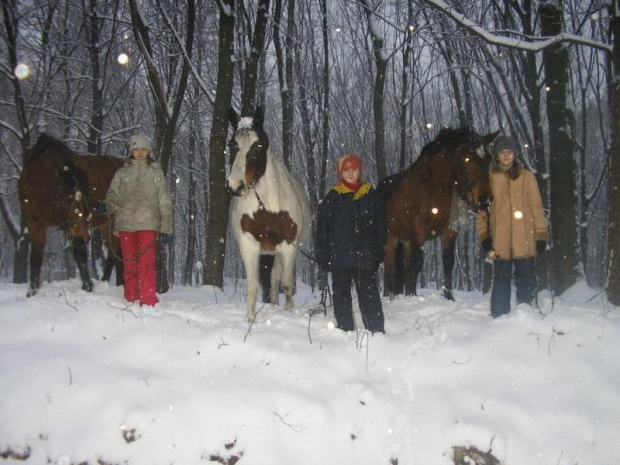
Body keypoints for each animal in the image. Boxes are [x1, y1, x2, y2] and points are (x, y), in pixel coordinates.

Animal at [17, 132, 123, 296]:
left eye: (83, 195)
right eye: (66, 201)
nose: (86, 236)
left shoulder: (75, 225)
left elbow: (79, 253)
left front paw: (87, 286)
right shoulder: (35, 222)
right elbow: (36, 256)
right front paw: (32, 292)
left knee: (116, 254)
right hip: (104, 225)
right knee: (114, 255)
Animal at [225, 107, 310, 320]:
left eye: (259, 145)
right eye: (232, 144)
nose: (235, 186)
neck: (267, 209)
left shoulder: (288, 247)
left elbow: (286, 284)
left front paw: (289, 313)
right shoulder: (249, 245)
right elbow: (252, 286)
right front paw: (250, 320)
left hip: (279, 252)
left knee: (276, 279)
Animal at [372, 126, 498, 300]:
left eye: (489, 158)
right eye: (467, 158)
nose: (485, 199)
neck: (432, 188)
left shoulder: (449, 231)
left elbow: (447, 262)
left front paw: (448, 297)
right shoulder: (418, 232)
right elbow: (417, 264)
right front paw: (411, 296)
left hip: (406, 240)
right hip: (391, 238)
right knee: (390, 265)